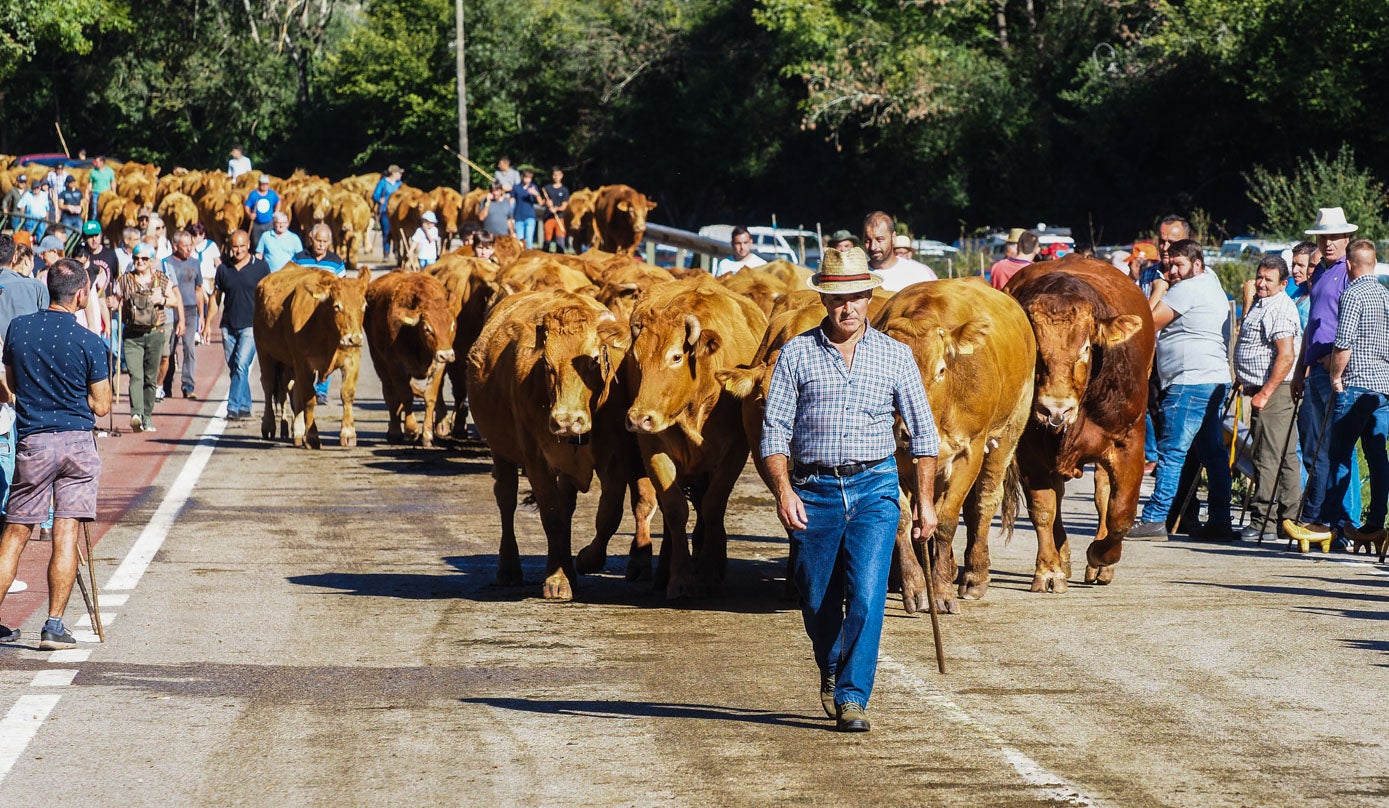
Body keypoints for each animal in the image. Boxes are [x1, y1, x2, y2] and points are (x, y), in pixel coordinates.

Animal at [366, 272, 458, 449]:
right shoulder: (396, 366)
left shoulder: (439, 366)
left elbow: (430, 397)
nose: (446, 355)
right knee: (391, 394)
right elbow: (405, 395)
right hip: (379, 362)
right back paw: (395, 431)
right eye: (427, 328)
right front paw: (412, 429)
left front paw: (428, 435)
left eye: (452, 325)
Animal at [466, 288, 650, 599]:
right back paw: (509, 568)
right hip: (501, 452)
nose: (567, 421)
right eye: (546, 364)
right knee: (507, 501)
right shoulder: (536, 460)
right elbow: (552, 517)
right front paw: (558, 579)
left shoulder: (616, 457)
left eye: (593, 360)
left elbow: (608, 514)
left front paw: (587, 559)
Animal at [625, 274, 766, 599]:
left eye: (676, 357)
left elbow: (713, 506)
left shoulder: (734, 452)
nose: (639, 418)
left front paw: (707, 575)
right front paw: (678, 577)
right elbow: (674, 510)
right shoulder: (653, 448)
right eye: (636, 357)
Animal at [872, 279, 1038, 613]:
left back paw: (974, 575)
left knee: (984, 502)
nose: (908, 432)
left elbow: (947, 520)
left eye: (940, 370)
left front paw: (942, 591)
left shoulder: (969, 451)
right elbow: (904, 519)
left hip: (1008, 432)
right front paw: (916, 586)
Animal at [1005, 256, 1155, 591]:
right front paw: (1049, 569)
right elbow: (1044, 508)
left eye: (1086, 348)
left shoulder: (1129, 442)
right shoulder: (1030, 449)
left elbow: (1121, 512)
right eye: (1036, 350)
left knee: (1103, 493)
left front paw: (1101, 556)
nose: (1055, 409)